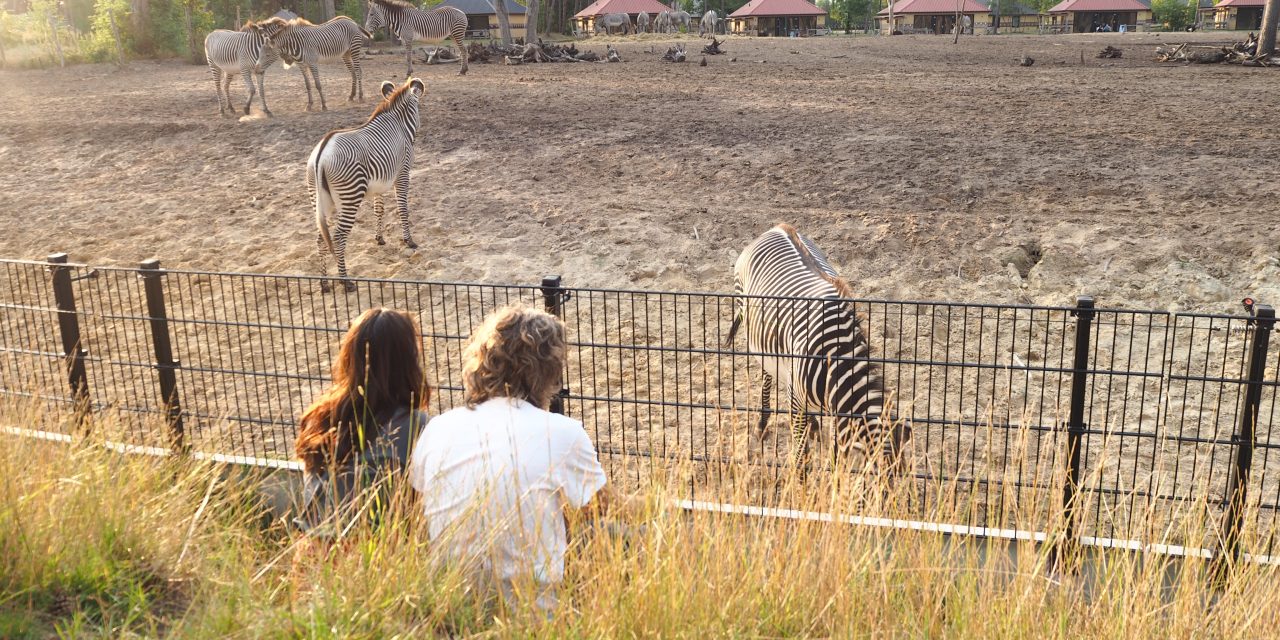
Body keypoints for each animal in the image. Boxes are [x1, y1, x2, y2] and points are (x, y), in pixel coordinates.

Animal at [308, 76, 424, 293]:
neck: (399, 123)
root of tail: (322, 154)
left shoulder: (380, 182)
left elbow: (379, 210)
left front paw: (379, 238)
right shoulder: (403, 174)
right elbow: (403, 209)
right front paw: (409, 240)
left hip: (319, 199)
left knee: (321, 237)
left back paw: (324, 283)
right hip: (350, 196)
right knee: (338, 237)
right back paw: (346, 282)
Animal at [732, 225, 911, 476]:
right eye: (878, 481)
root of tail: (779, 227)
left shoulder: (836, 409)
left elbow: (836, 451)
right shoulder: (796, 400)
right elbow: (800, 456)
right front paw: (802, 484)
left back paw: (813, 424)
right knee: (767, 375)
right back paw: (762, 424)